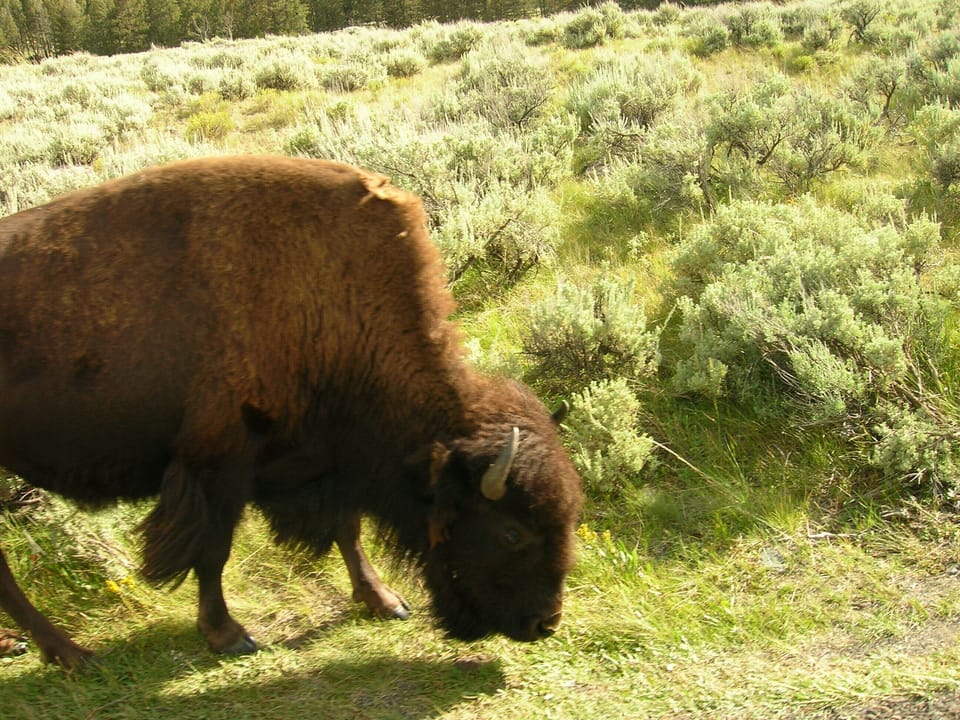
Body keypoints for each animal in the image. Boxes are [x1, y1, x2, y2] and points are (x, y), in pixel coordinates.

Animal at [0, 156, 583, 670]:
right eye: (512, 532)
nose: (545, 624)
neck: (328, 290)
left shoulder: (327, 458)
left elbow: (347, 527)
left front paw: (385, 601)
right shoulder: (220, 464)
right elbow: (214, 552)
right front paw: (229, 635)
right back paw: (71, 654)